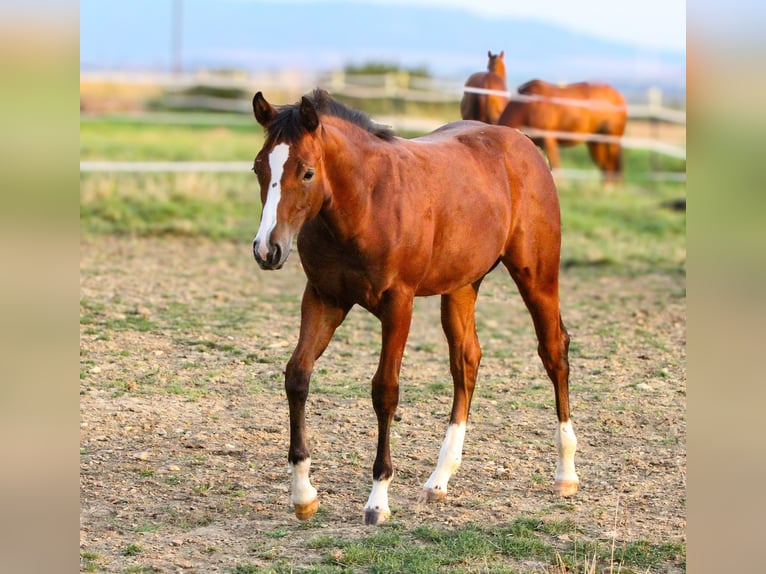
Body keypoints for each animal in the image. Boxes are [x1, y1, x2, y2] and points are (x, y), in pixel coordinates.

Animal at [252, 89, 584, 528]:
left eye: (307, 173)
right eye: (259, 168)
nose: (267, 250)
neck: (365, 203)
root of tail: (523, 144)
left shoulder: (398, 305)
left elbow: (385, 391)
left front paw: (377, 501)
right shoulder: (324, 298)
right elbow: (297, 376)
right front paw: (304, 494)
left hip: (537, 276)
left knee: (553, 351)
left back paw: (565, 473)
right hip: (462, 286)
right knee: (466, 361)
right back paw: (439, 479)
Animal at [498, 79, 632, 182]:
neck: (528, 105)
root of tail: (618, 96)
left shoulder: (548, 140)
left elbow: (556, 165)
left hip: (611, 140)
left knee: (611, 162)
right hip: (596, 142)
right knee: (605, 163)